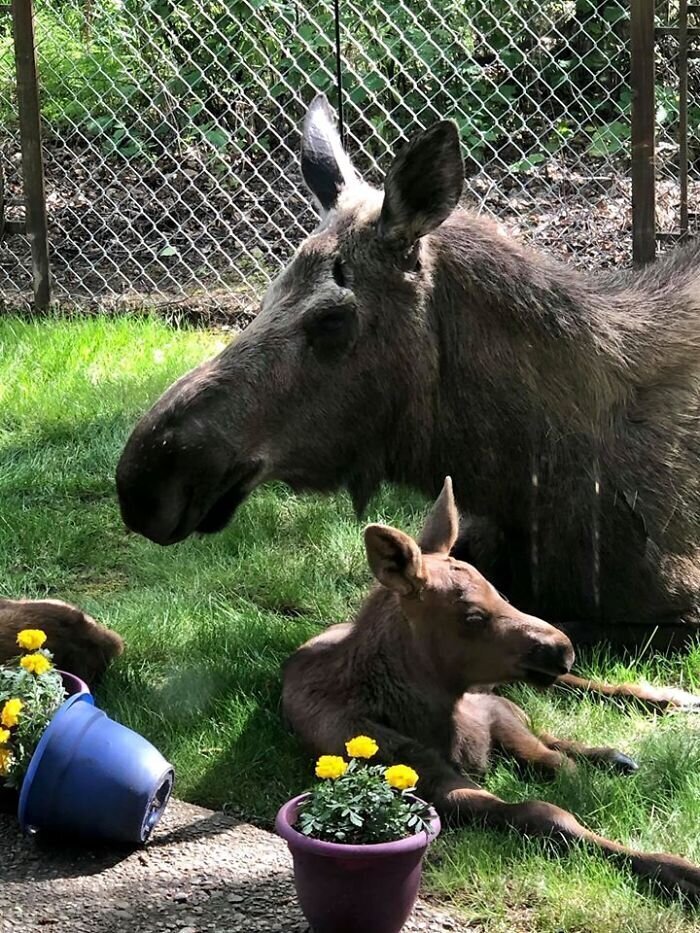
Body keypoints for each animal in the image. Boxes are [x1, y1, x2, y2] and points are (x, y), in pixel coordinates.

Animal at [282, 476, 700, 900]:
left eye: (501, 593)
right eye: (472, 616)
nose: (562, 648)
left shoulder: (494, 714)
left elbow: (554, 764)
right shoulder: (431, 784)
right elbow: (544, 808)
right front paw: (679, 873)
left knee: (567, 696)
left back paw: (667, 702)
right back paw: (614, 753)